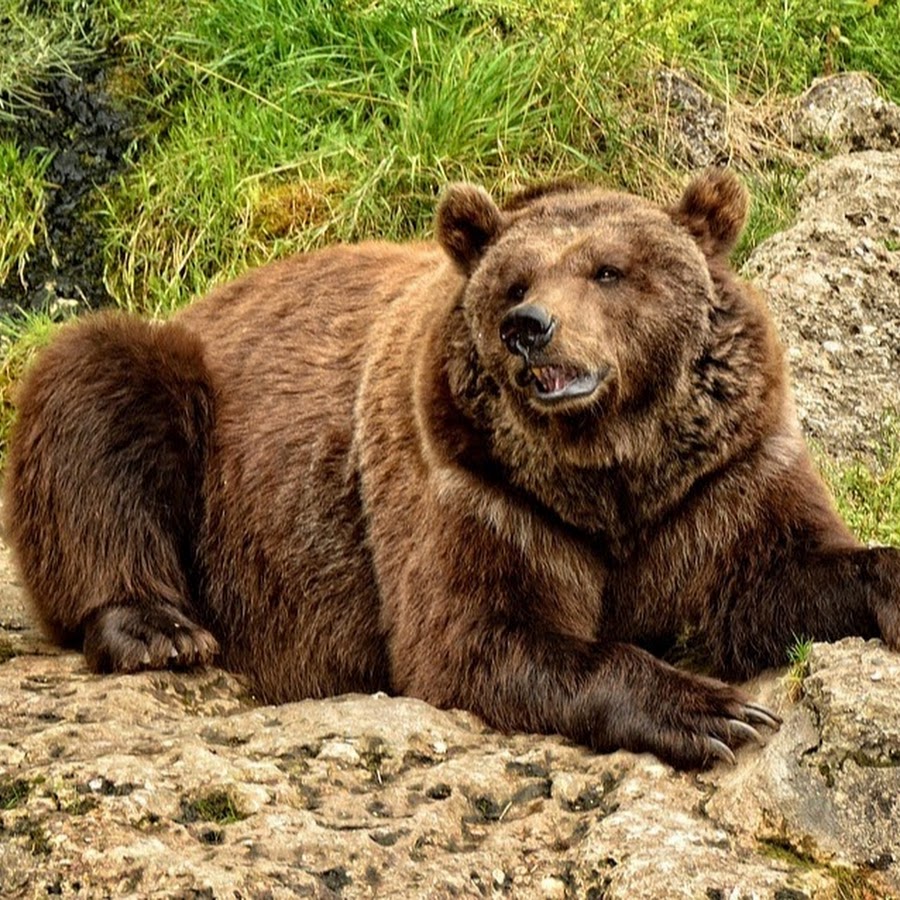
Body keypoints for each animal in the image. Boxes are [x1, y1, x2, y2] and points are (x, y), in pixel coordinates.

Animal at [3, 171, 896, 768]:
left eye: (609, 270)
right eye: (517, 279)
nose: (528, 327)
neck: (608, 469)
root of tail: (207, 299)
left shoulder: (719, 476)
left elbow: (772, 573)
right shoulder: (474, 487)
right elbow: (476, 638)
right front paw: (710, 710)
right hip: (198, 405)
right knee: (94, 385)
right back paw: (157, 628)